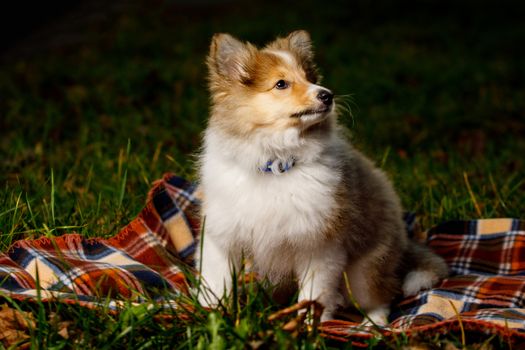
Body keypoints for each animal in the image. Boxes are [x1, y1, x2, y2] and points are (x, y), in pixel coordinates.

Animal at [196, 31, 446, 324]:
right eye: (281, 84)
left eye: (310, 78)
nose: (328, 95)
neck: (276, 163)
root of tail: (406, 242)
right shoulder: (222, 238)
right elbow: (217, 283)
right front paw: (210, 316)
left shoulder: (319, 246)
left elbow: (313, 295)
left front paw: (307, 327)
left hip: (363, 273)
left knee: (383, 296)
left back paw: (371, 324)